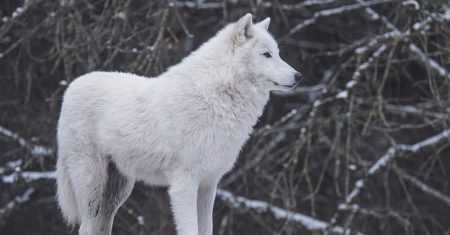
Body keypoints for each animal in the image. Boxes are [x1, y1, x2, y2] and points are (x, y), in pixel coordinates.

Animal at [56, 13, 302, 235]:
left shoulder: (209, 184)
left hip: (119, 190)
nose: (298, 76)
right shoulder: (184, 184)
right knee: (86, 227)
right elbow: (190, 230)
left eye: (278, 54)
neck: (215, 98)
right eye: (266, 55)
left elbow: (207, 229)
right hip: (92, 185)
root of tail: (72, 86)